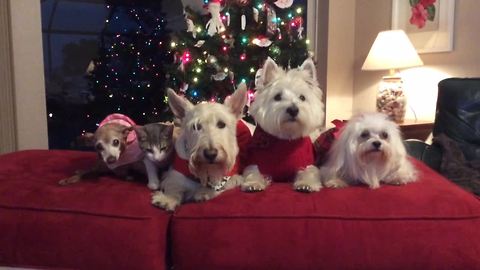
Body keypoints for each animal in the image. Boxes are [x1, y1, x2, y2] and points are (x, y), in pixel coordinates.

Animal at [242, 57, 324, 192]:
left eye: (302, 97)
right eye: (277, 97)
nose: (293, 110)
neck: (286, 138)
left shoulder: (307, 163)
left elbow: (309, 172)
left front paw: (306, 184)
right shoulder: (256, 162)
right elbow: (253, 172)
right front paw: (253, 184)